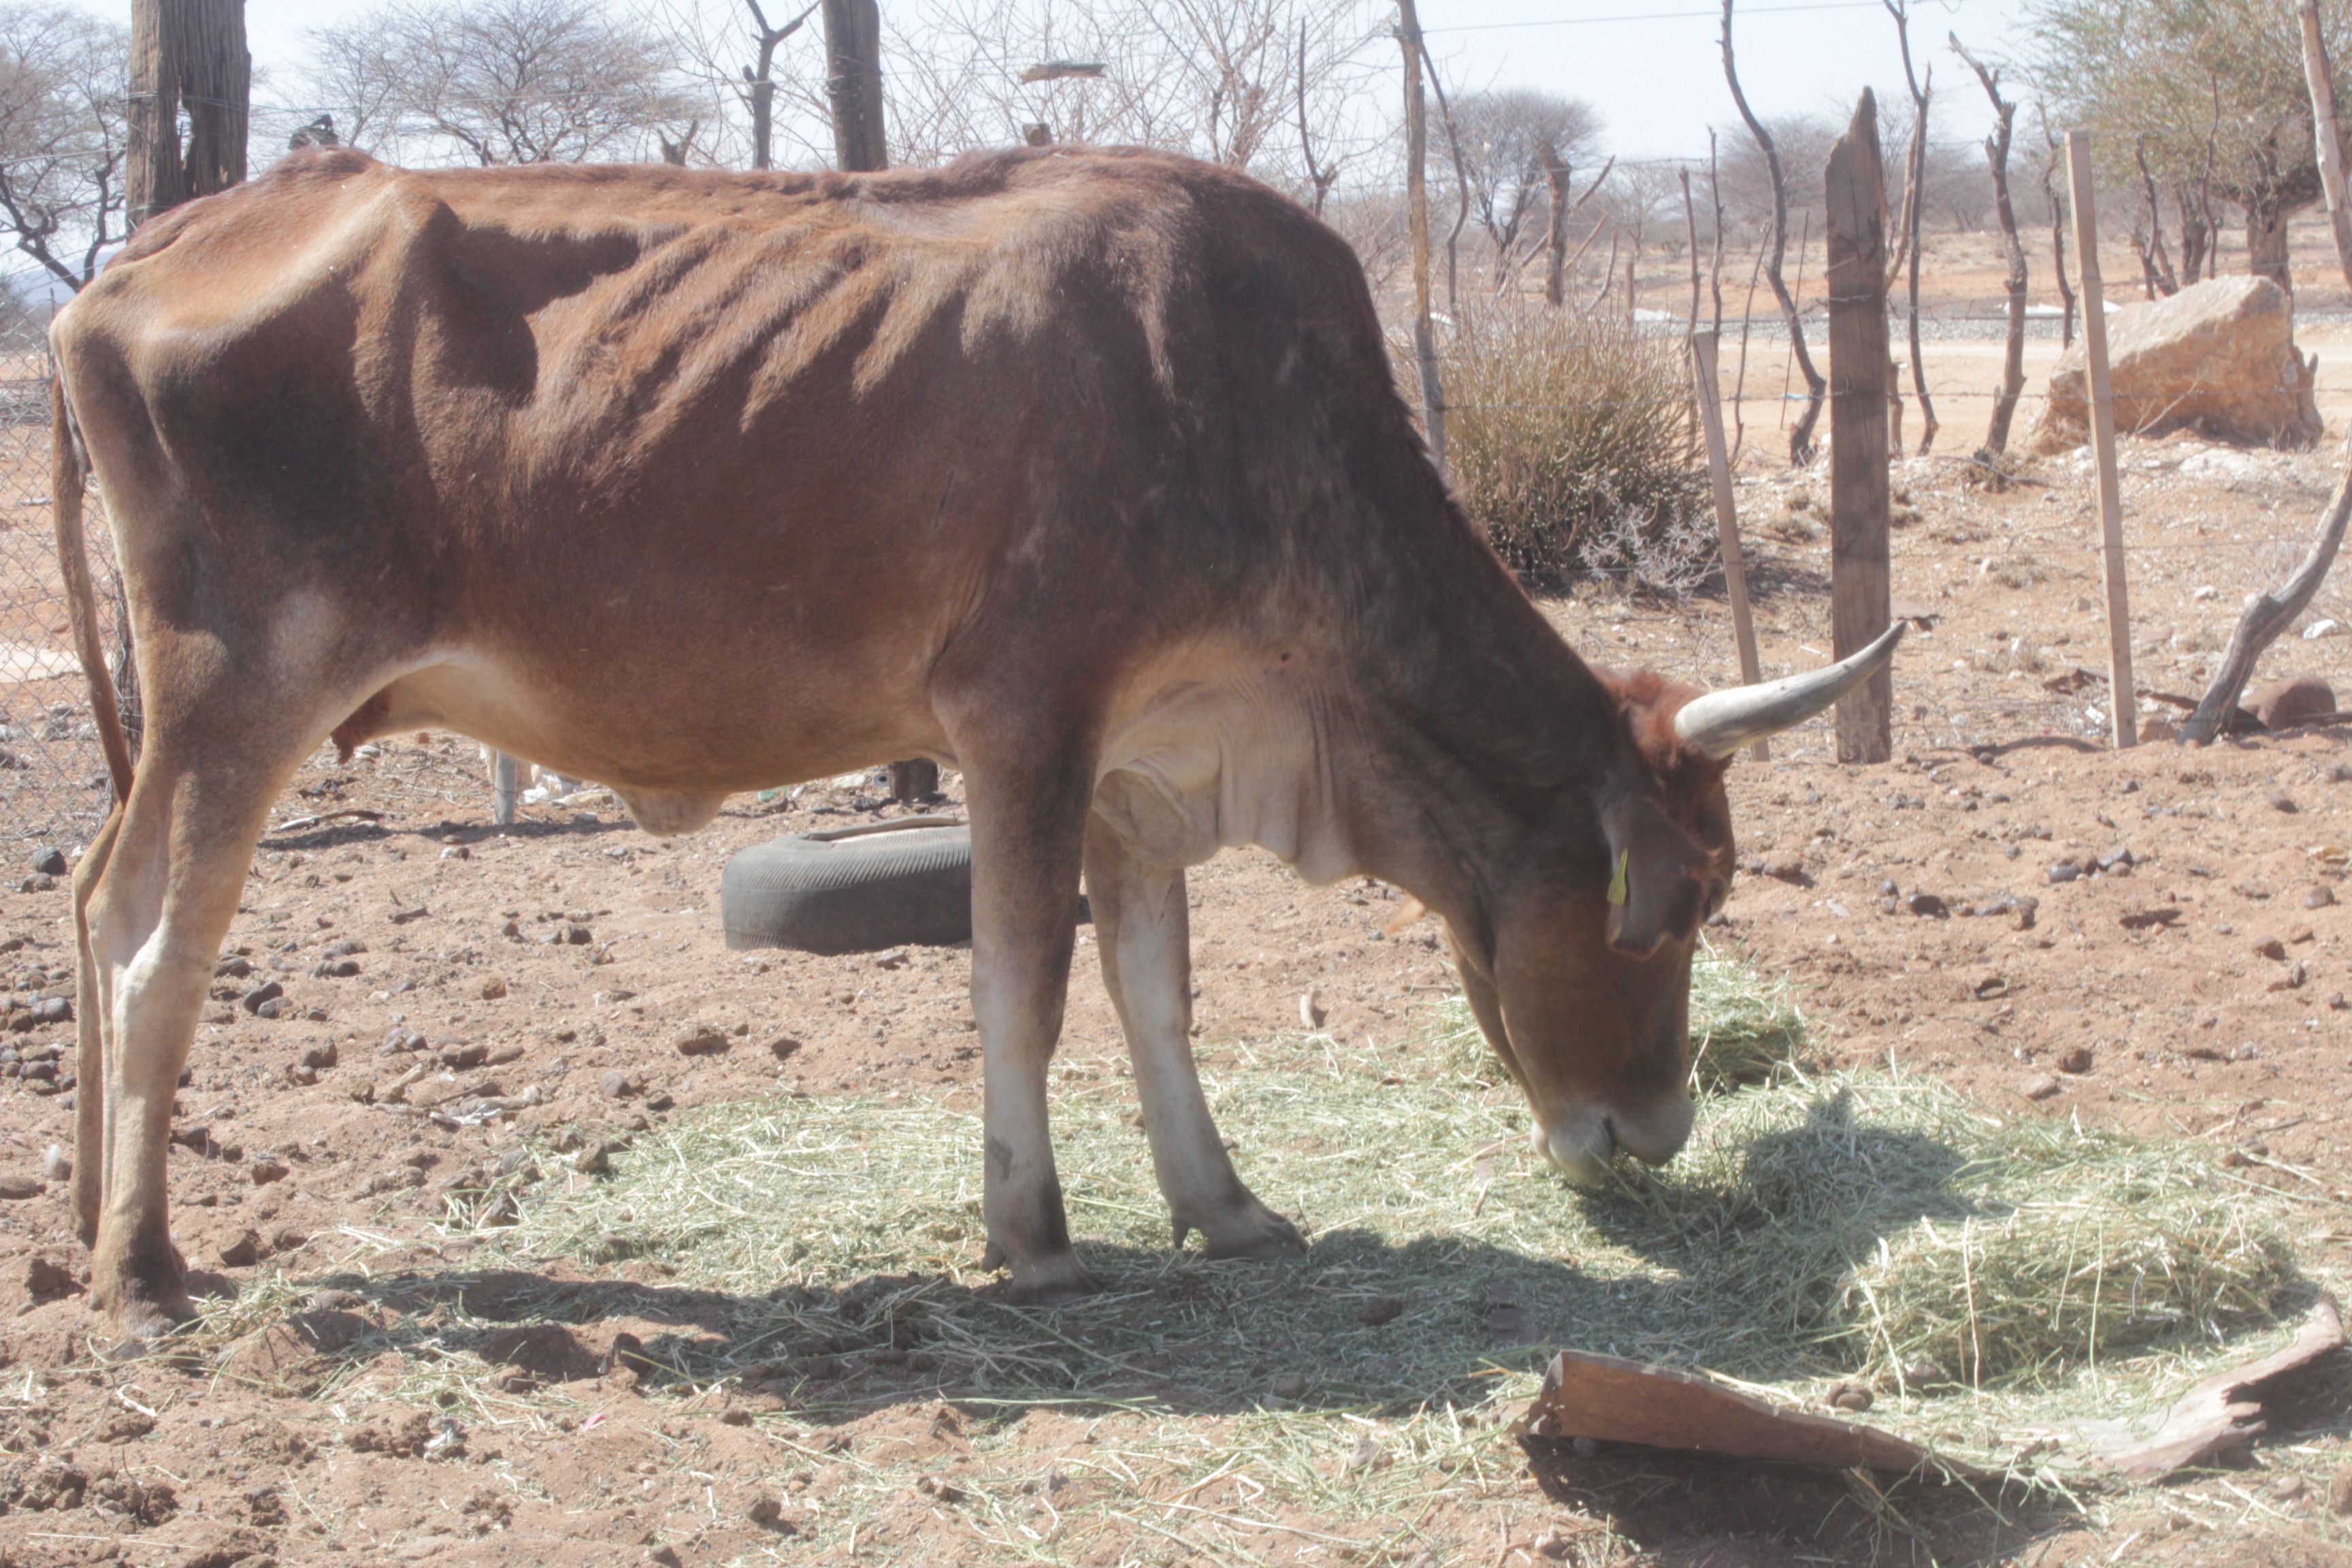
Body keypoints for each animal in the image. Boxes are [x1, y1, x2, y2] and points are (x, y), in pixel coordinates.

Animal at [50, 144, 1891, 1335]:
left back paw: (83, 1229)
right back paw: (141, 1272)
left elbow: (1157, 992)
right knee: (158, 947)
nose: (1654, 1131)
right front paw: (1037, 1236)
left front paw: (1224, 1207)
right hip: (242, 690)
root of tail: (153, 247)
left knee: (93, 898)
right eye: (1677, 909)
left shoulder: (1143, 766)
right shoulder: (1026, 723)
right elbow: (1028, 978)